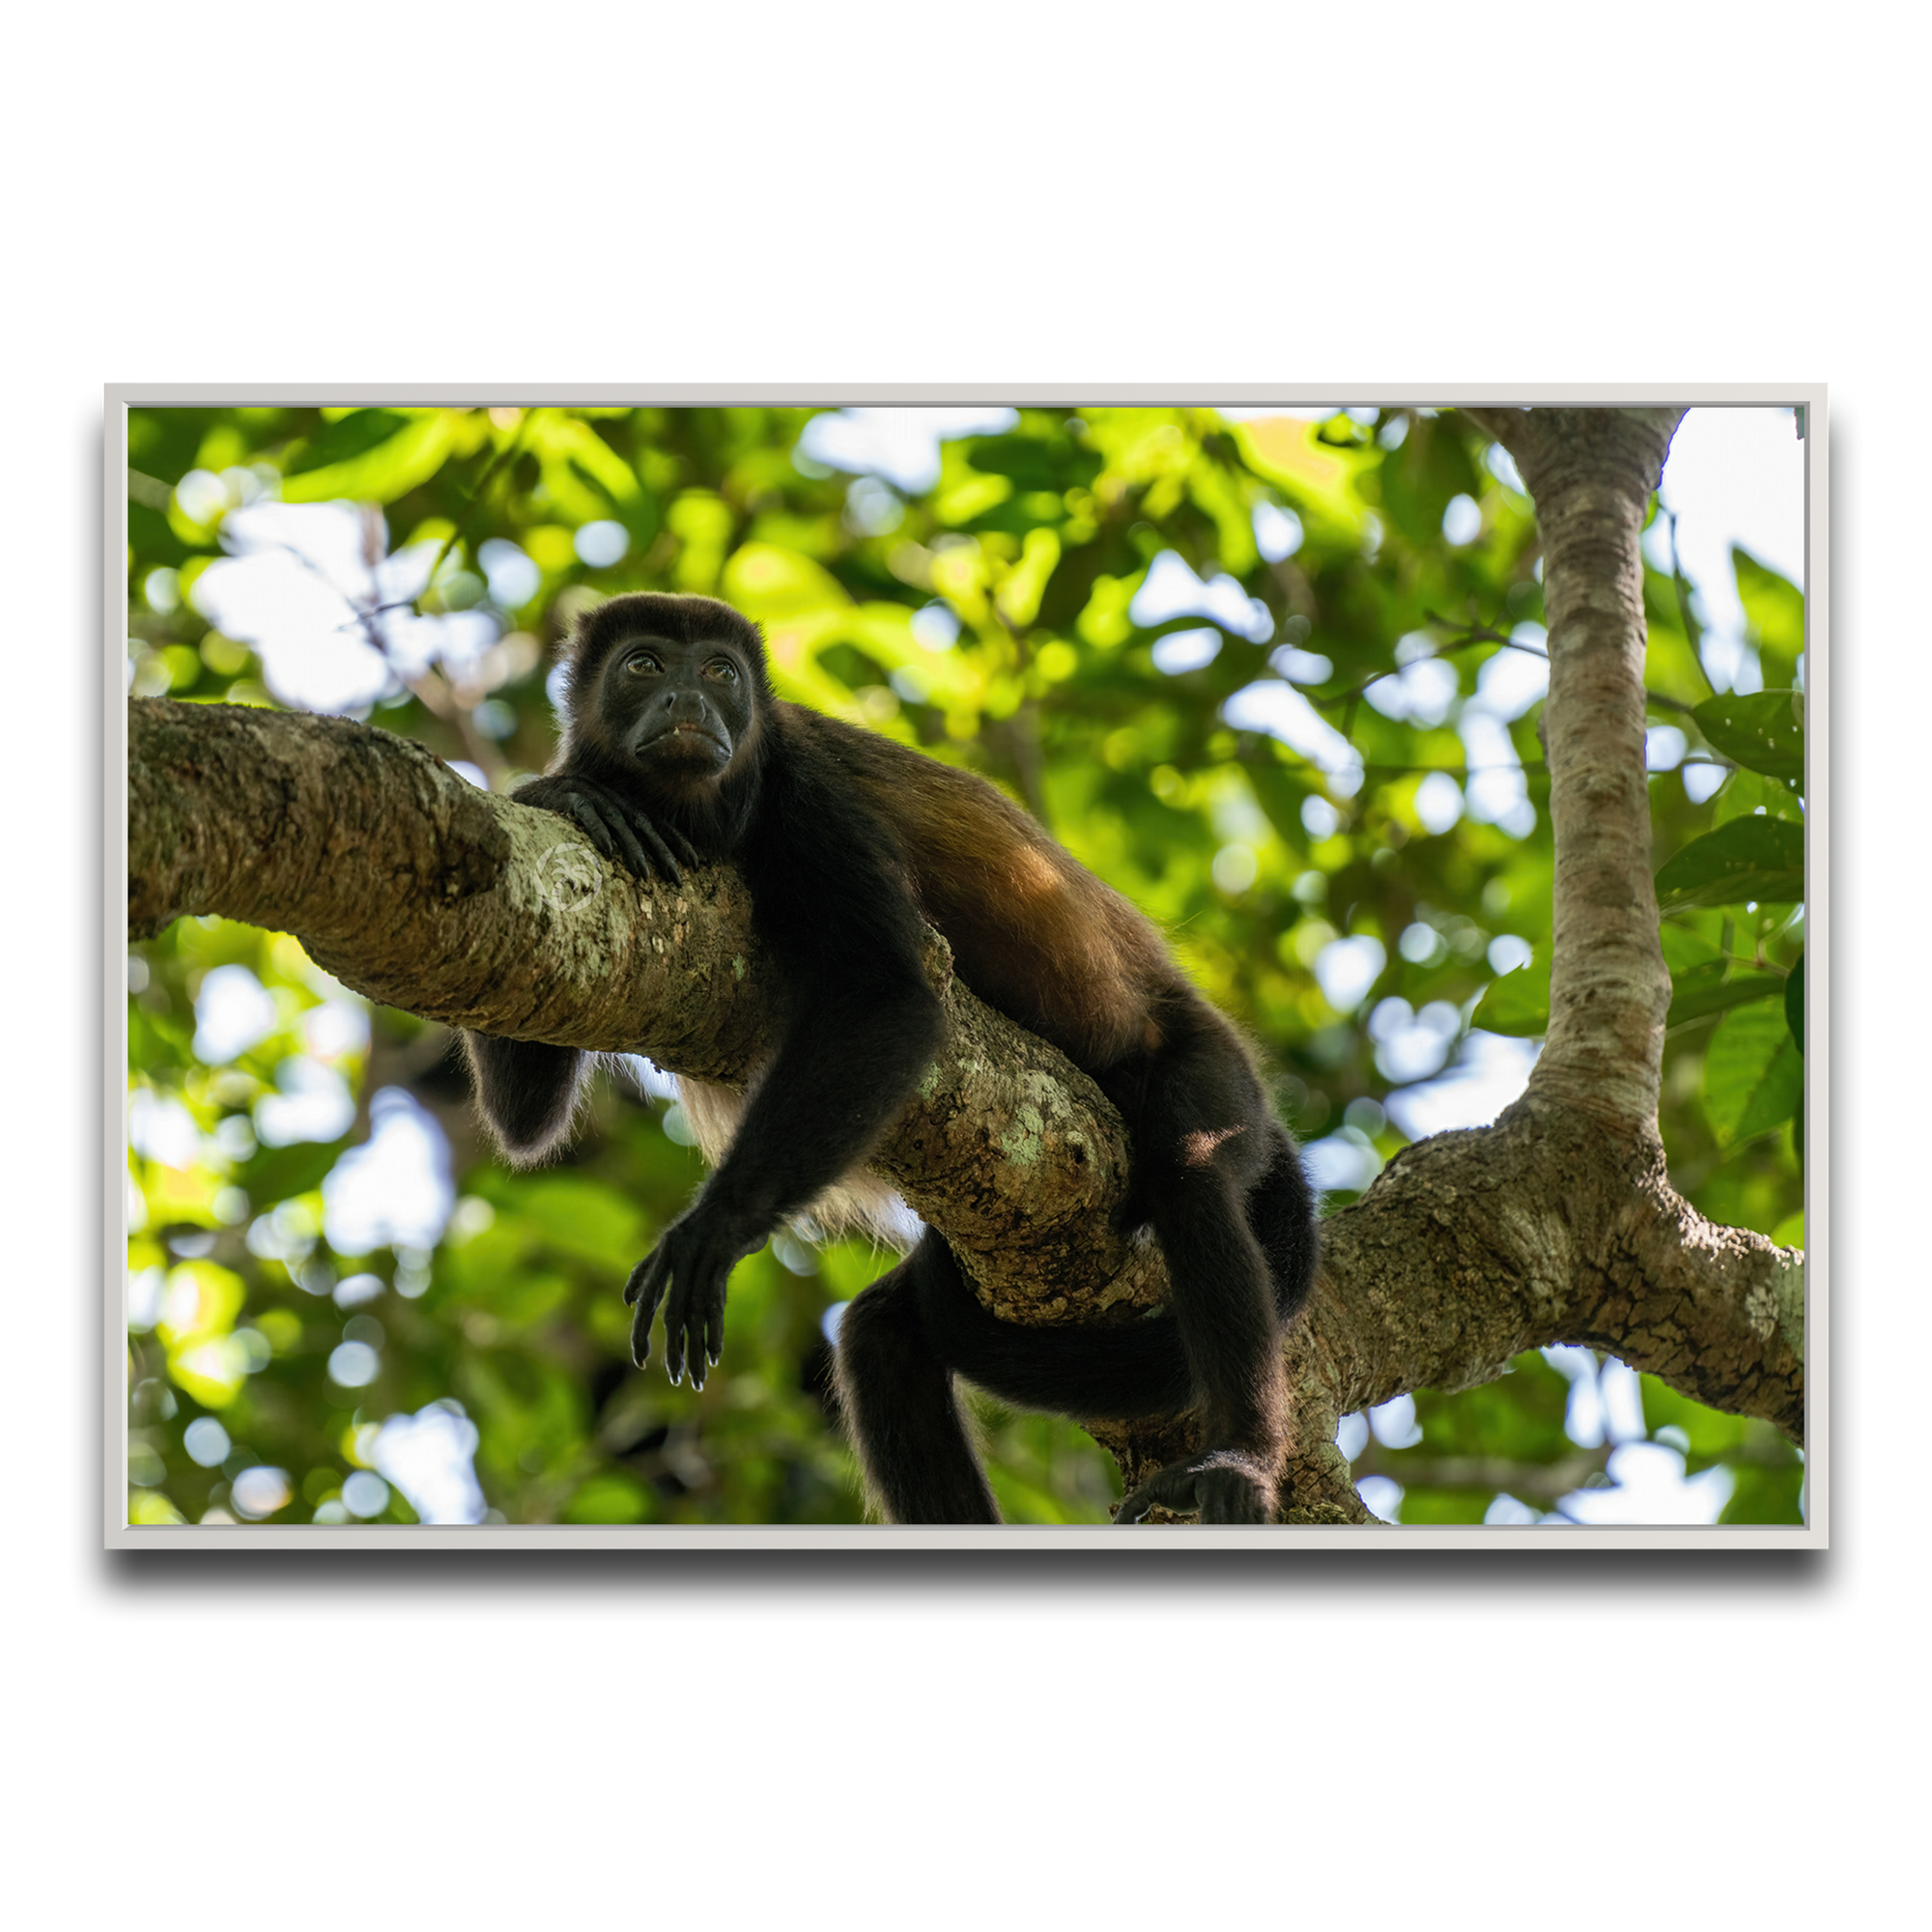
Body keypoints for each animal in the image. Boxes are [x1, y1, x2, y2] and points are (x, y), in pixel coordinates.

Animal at [460, 591, 1321, 1522]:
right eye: (645, 665)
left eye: (721, 673)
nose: (688, 701)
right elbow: (526, 1117)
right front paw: (564, 793)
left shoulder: (807, 794)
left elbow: (892, 998)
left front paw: (713, 1229)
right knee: (882, 1335)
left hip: (1211, 1071)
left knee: (1192, 1176)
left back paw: (1240, 1457)